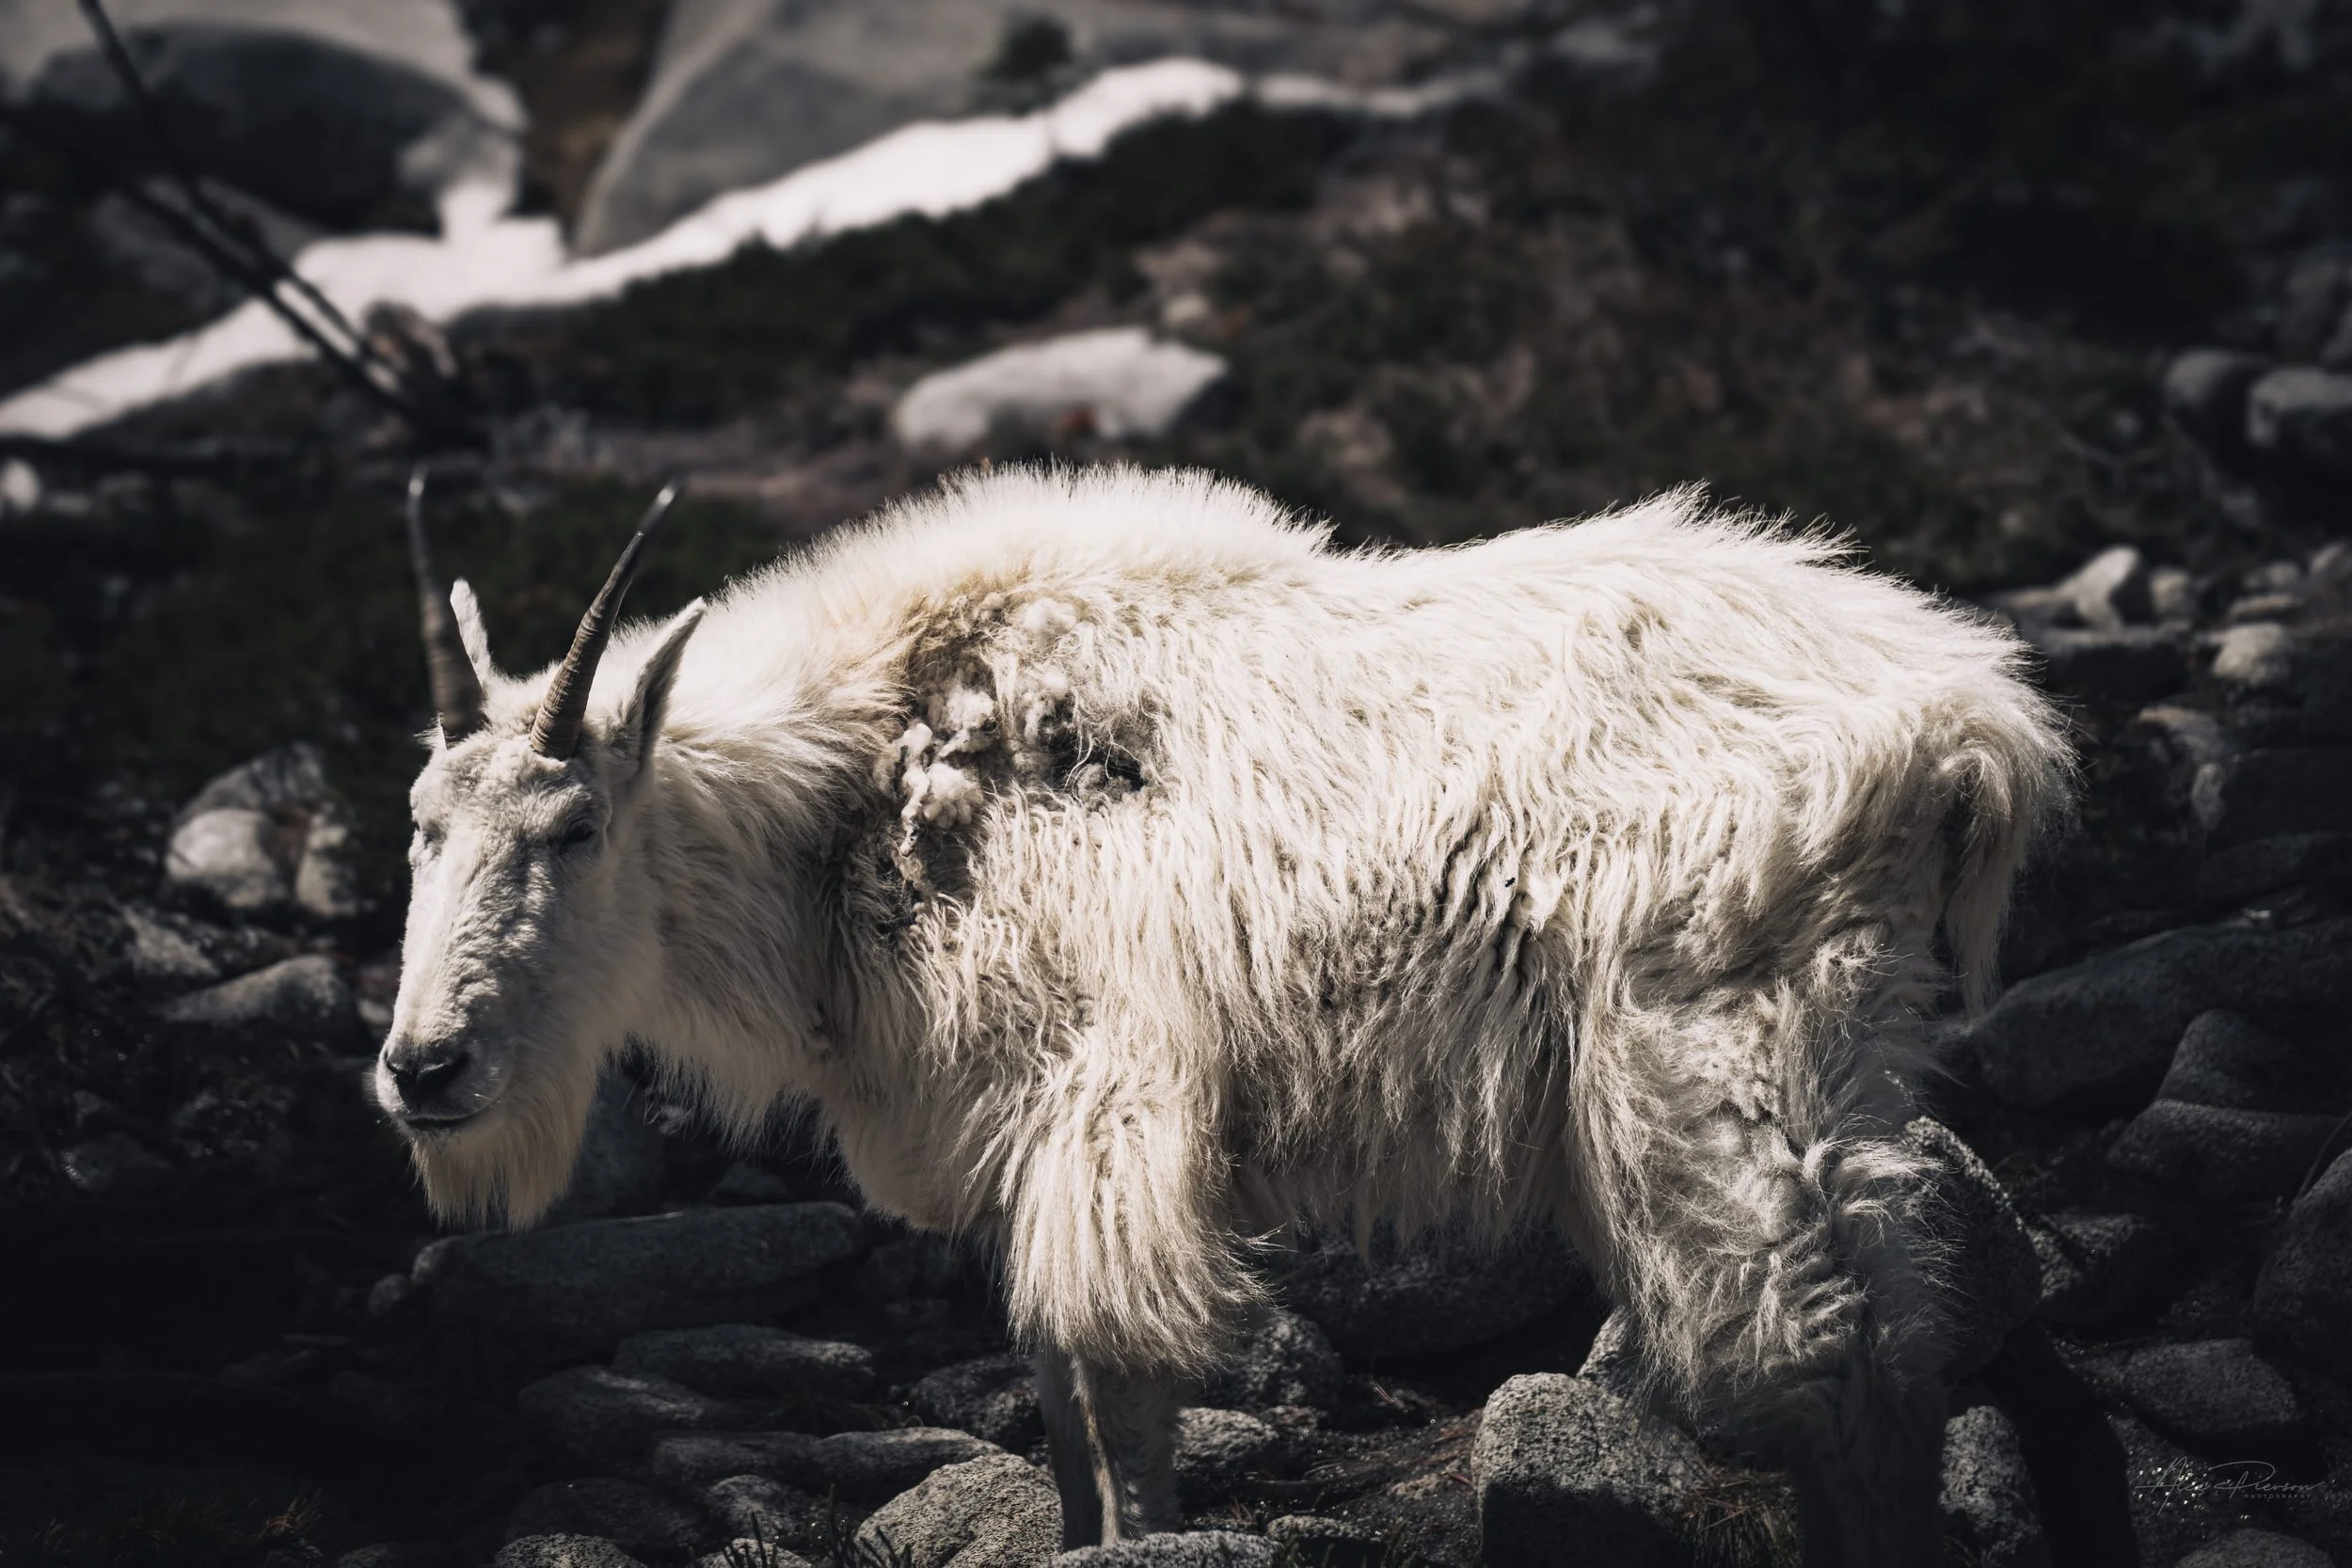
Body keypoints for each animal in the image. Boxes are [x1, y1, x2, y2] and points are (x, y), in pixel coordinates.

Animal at [378, 463, 2069, 1563]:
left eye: (572, 825)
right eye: (417, 822)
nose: (423, 1069)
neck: (854, 805)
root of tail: (1969, 721)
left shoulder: (1106, 1114)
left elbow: (1120, 1400)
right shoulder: (1026, 1143)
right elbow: (1058, 1406)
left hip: (1726, 1054)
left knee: (1843, 1366)